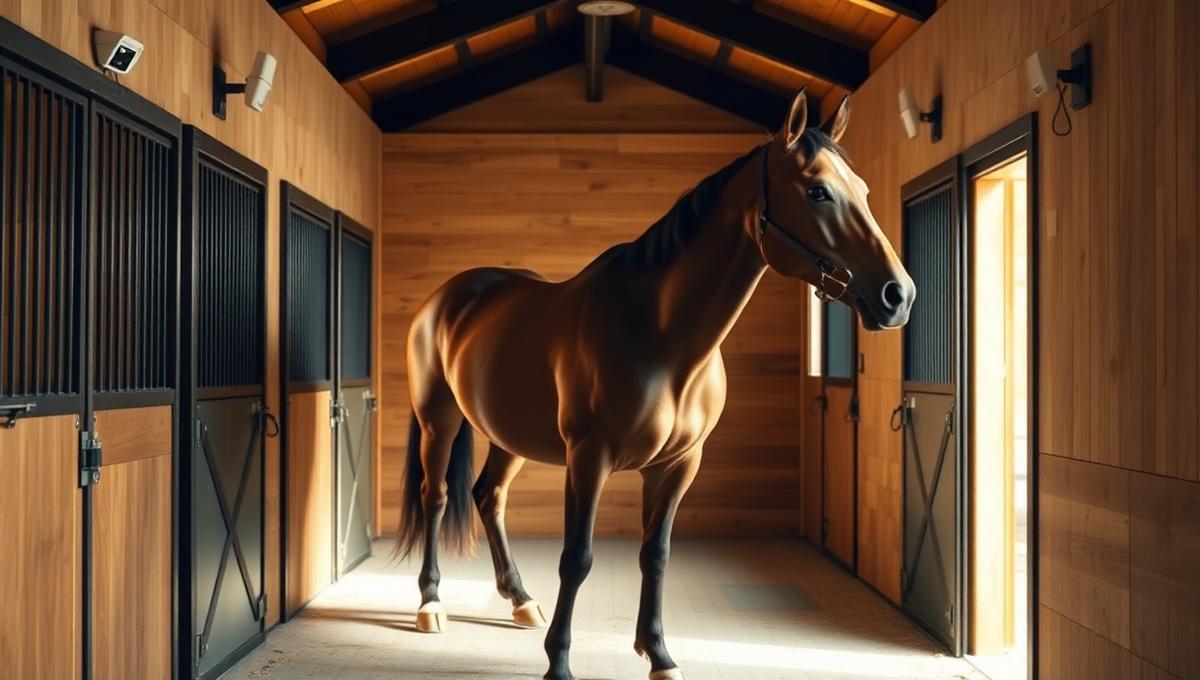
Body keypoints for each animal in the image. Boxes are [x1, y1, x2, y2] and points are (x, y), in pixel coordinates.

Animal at [395, 88, 915, 680]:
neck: (661, 335)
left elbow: (656, 554)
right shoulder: (588, 458)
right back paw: (431, 604)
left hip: (509, 433)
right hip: (439, 421)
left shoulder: (679, 464)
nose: (899, 295)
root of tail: (446, 297)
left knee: (489, 497)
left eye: (865, 191)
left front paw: (659, 654)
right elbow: (577, 558)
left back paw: (521, 600)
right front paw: (559, 662)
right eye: (818, 191)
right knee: (435, 497)